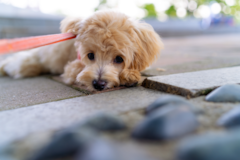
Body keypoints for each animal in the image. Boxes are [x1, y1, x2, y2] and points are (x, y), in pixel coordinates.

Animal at [0, 10, 163, 91]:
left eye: (119, 59)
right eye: (90, 55)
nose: (98, 84)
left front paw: (128, 74)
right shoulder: (72, 67)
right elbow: (79, 71)